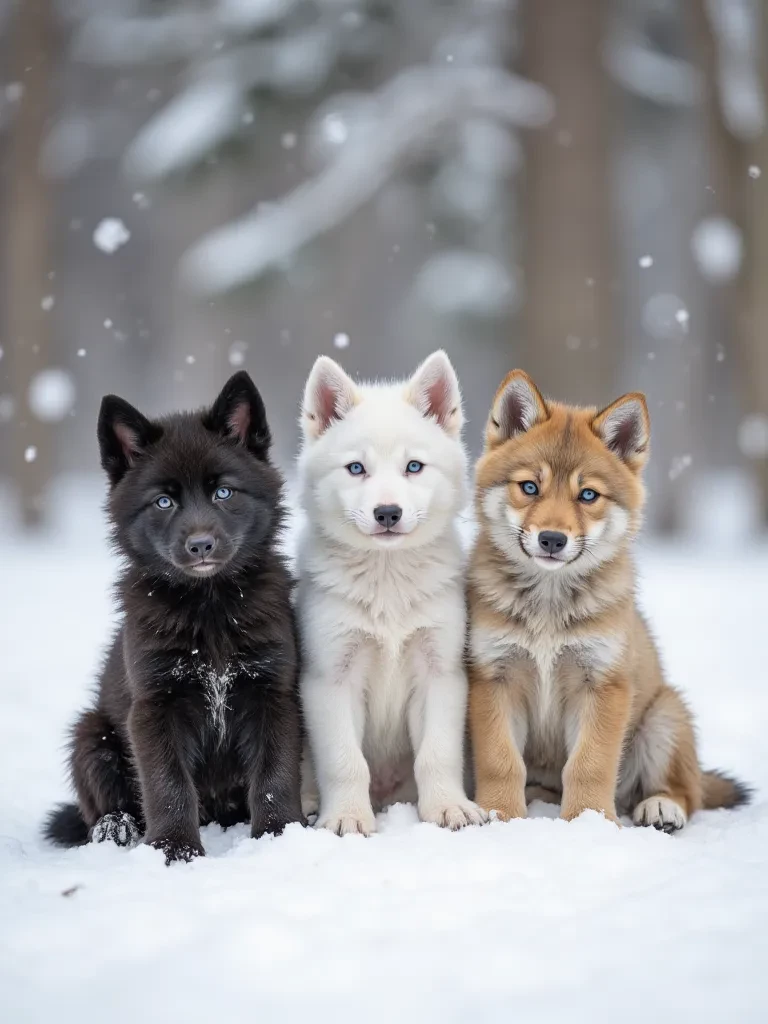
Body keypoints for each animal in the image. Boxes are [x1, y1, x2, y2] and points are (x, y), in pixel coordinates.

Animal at [45, 372, 304, 863]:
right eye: (163, 502)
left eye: (223, 492)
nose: (200, 545)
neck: (210, 607)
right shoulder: (154, 705)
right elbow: (167, 783)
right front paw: (174, 850)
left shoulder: (273, 693)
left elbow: (275, 773)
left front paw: (280, 835)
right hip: (90, 733)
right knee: (100, 802)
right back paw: (116, 828)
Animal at [297, 351, 485, 835]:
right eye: (356, 468)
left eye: (413, 467)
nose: (387, 513)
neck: (387, 582)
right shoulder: (330, 678)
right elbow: (345, 762)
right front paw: (347, 817)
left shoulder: (441, 674)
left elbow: (437, 755)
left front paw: (448, 808)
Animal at [468, 369, 749, 831]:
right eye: (529, 487)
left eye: (588, 495)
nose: (552, 539)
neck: (548, 607)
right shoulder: (495, 678)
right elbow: (501, 761)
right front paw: (502, 815)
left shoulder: (603, 684)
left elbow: (590, 765)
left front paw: (589, 822)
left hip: (665, 716)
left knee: (686, 791)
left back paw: (661, 807)